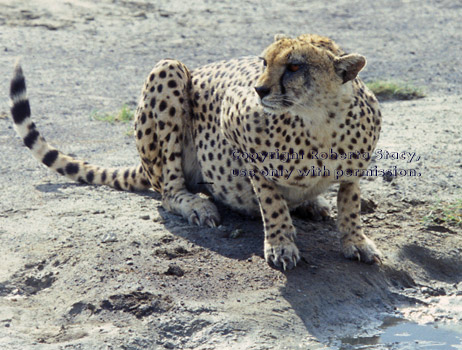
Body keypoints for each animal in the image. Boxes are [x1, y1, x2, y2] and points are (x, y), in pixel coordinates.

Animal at [9, 33, 382, 270]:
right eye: (264, 62)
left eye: (294, 66)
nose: (259, 89)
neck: (320, 120)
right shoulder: (234, 122)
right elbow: (271, 200)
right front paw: (280, 244)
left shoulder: (355, 166)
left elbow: (350, 203)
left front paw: (356, 241)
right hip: (168, 71)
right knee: (167, 191)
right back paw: (195, 205)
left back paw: (311, 203)